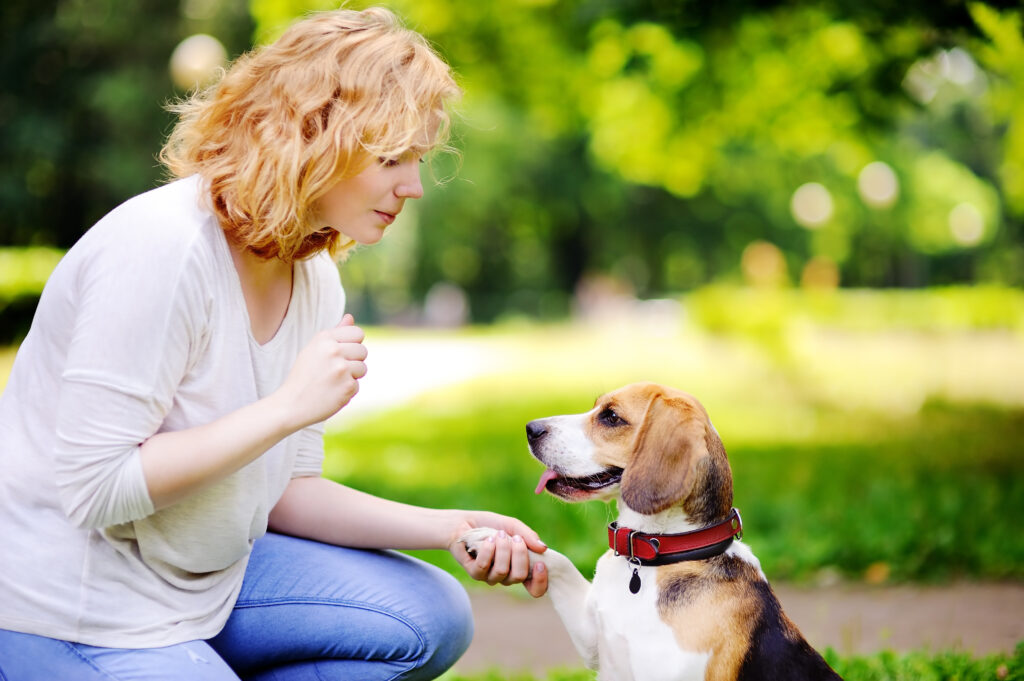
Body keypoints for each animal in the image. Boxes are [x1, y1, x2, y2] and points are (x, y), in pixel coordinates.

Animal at [464, 382, 839, 679]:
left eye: (611, 417)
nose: (531, 428)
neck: (651, 562)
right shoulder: (593, 640)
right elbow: (557, 560)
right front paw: (492, 538)